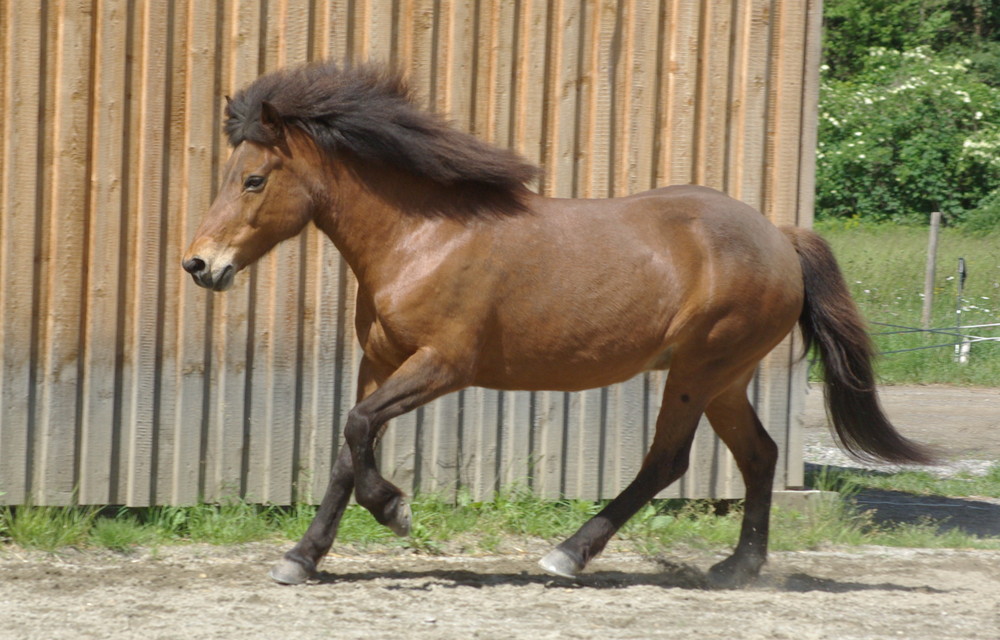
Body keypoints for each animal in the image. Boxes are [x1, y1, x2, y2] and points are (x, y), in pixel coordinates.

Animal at [182, 61, 936, 592]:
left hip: (698, 371)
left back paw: (568, 555)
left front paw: (395, 510)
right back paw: (736, 569)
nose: (199, 264)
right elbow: (346, 448)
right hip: (725, 378)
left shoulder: (442, 365)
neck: (422, 239)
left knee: (667, 461)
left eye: (253, 179)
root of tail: (780, 237)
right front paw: (301, 558)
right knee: (759, 456)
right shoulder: (380, 361)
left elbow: (359, 428)